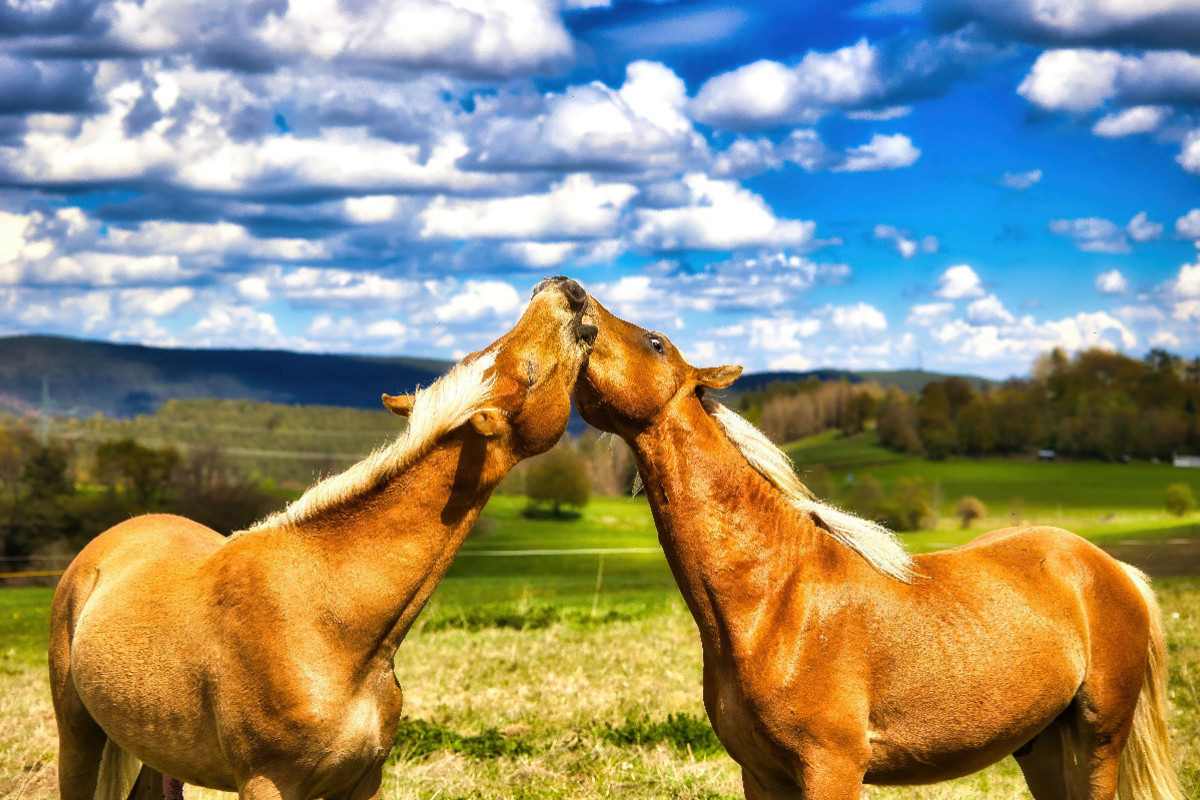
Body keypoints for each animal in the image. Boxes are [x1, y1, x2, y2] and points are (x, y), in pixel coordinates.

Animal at [50, 277, 600, 800]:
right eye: (529, 369)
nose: (563, 287)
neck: (328, 620)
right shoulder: (266, 783)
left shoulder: (363, 781)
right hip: (77, 737)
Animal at [571, 297, 1180, 800]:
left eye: (656, 342)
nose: (574, 297)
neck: (777, 602)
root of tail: (1111, 567)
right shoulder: (762, 776)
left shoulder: (832, 768)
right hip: (1041, 746)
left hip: (1099, 739)